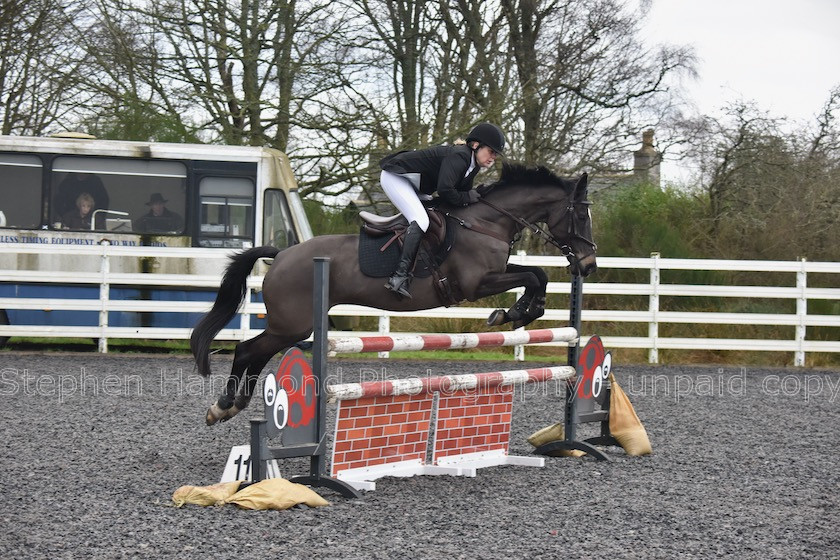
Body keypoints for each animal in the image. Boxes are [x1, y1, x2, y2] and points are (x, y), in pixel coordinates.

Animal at [190, 162, 596, 424]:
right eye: (580, 216)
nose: (588, 265)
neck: (485, 222)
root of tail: (282, 254)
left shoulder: (494, 274)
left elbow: (536, 274)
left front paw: (521, 311)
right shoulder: (476, 283)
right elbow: (533, 274)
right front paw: (515, 313)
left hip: (291, 327)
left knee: (257, 353)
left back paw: (232, 405)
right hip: (293, 325)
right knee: (248, 350)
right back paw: (222, 405)